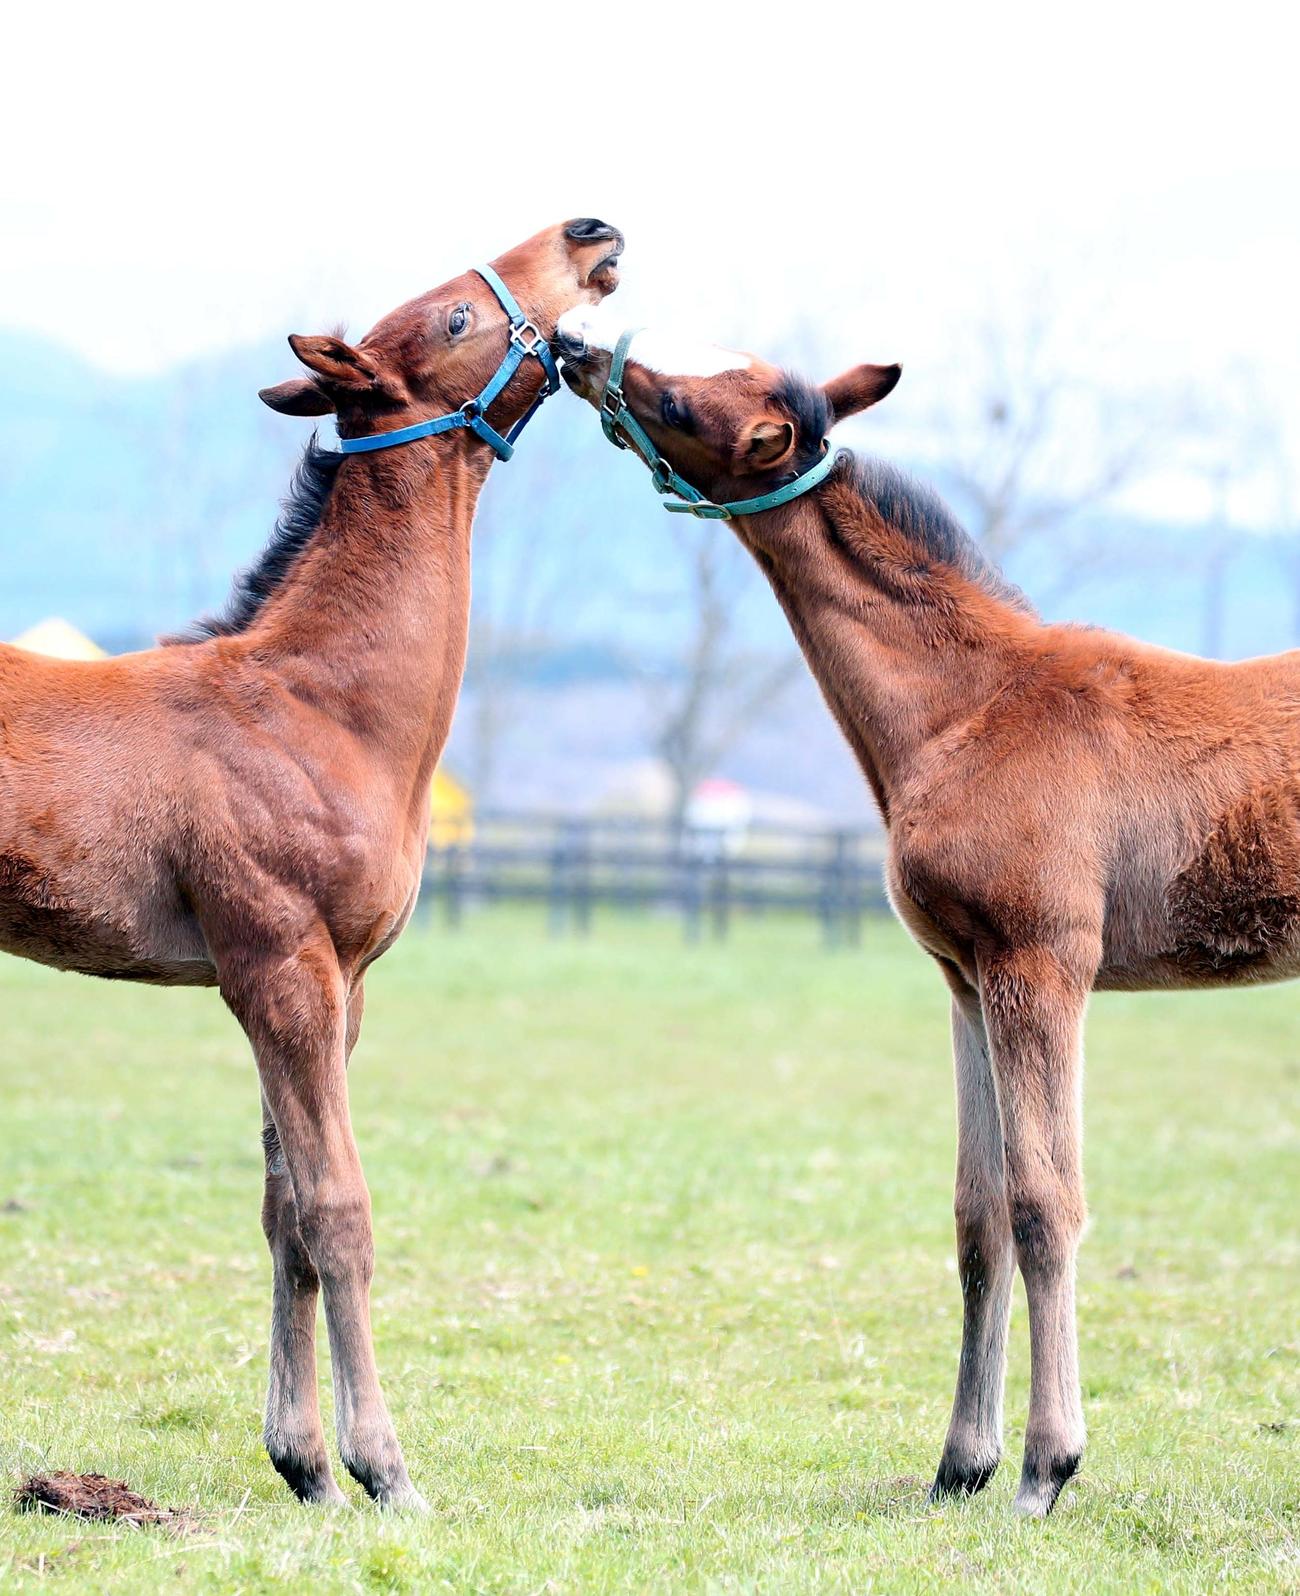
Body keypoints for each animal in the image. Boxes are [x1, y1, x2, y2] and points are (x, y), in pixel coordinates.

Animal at [0, 217, 623, 1509]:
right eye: (453, 317)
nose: (591, 233)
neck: (316, 706)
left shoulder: (342, 982)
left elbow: (282, 1208)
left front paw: (305, 1464)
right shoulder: (277, 970)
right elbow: (339, 1209)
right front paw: (383, 1469)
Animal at [553, 301, 1300, 1517]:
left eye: (684, 403)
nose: (574, 347)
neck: (967, 709)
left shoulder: (1041, 967)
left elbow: (1046, 1203)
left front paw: (1047, 1467)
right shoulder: (964, 979)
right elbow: (978, 1212)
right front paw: (963, 1461)